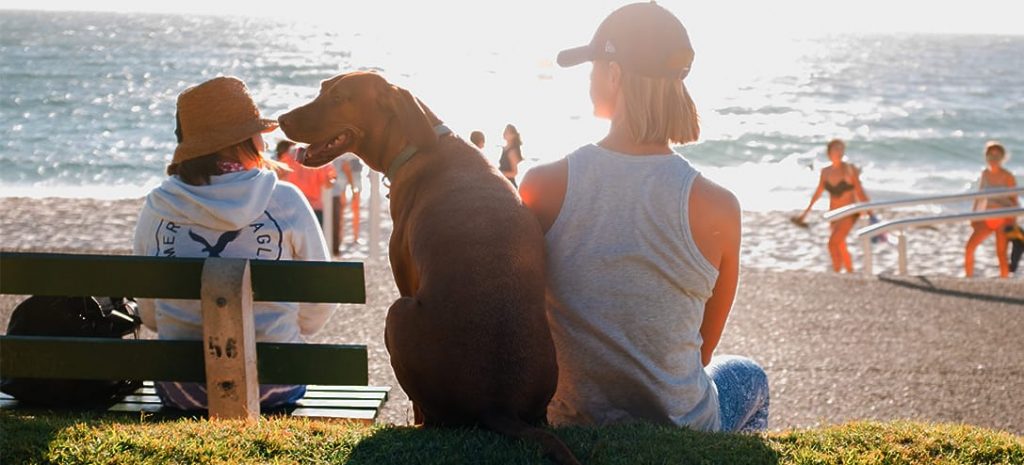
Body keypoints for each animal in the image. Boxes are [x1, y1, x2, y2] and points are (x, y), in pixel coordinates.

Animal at [280, 72, 581, 465]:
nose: (281, 120)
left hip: (396, 313)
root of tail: (497, 404)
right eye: (322, 89)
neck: (419, 144)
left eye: (339, 98)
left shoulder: (405, 279)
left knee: (430, 413)